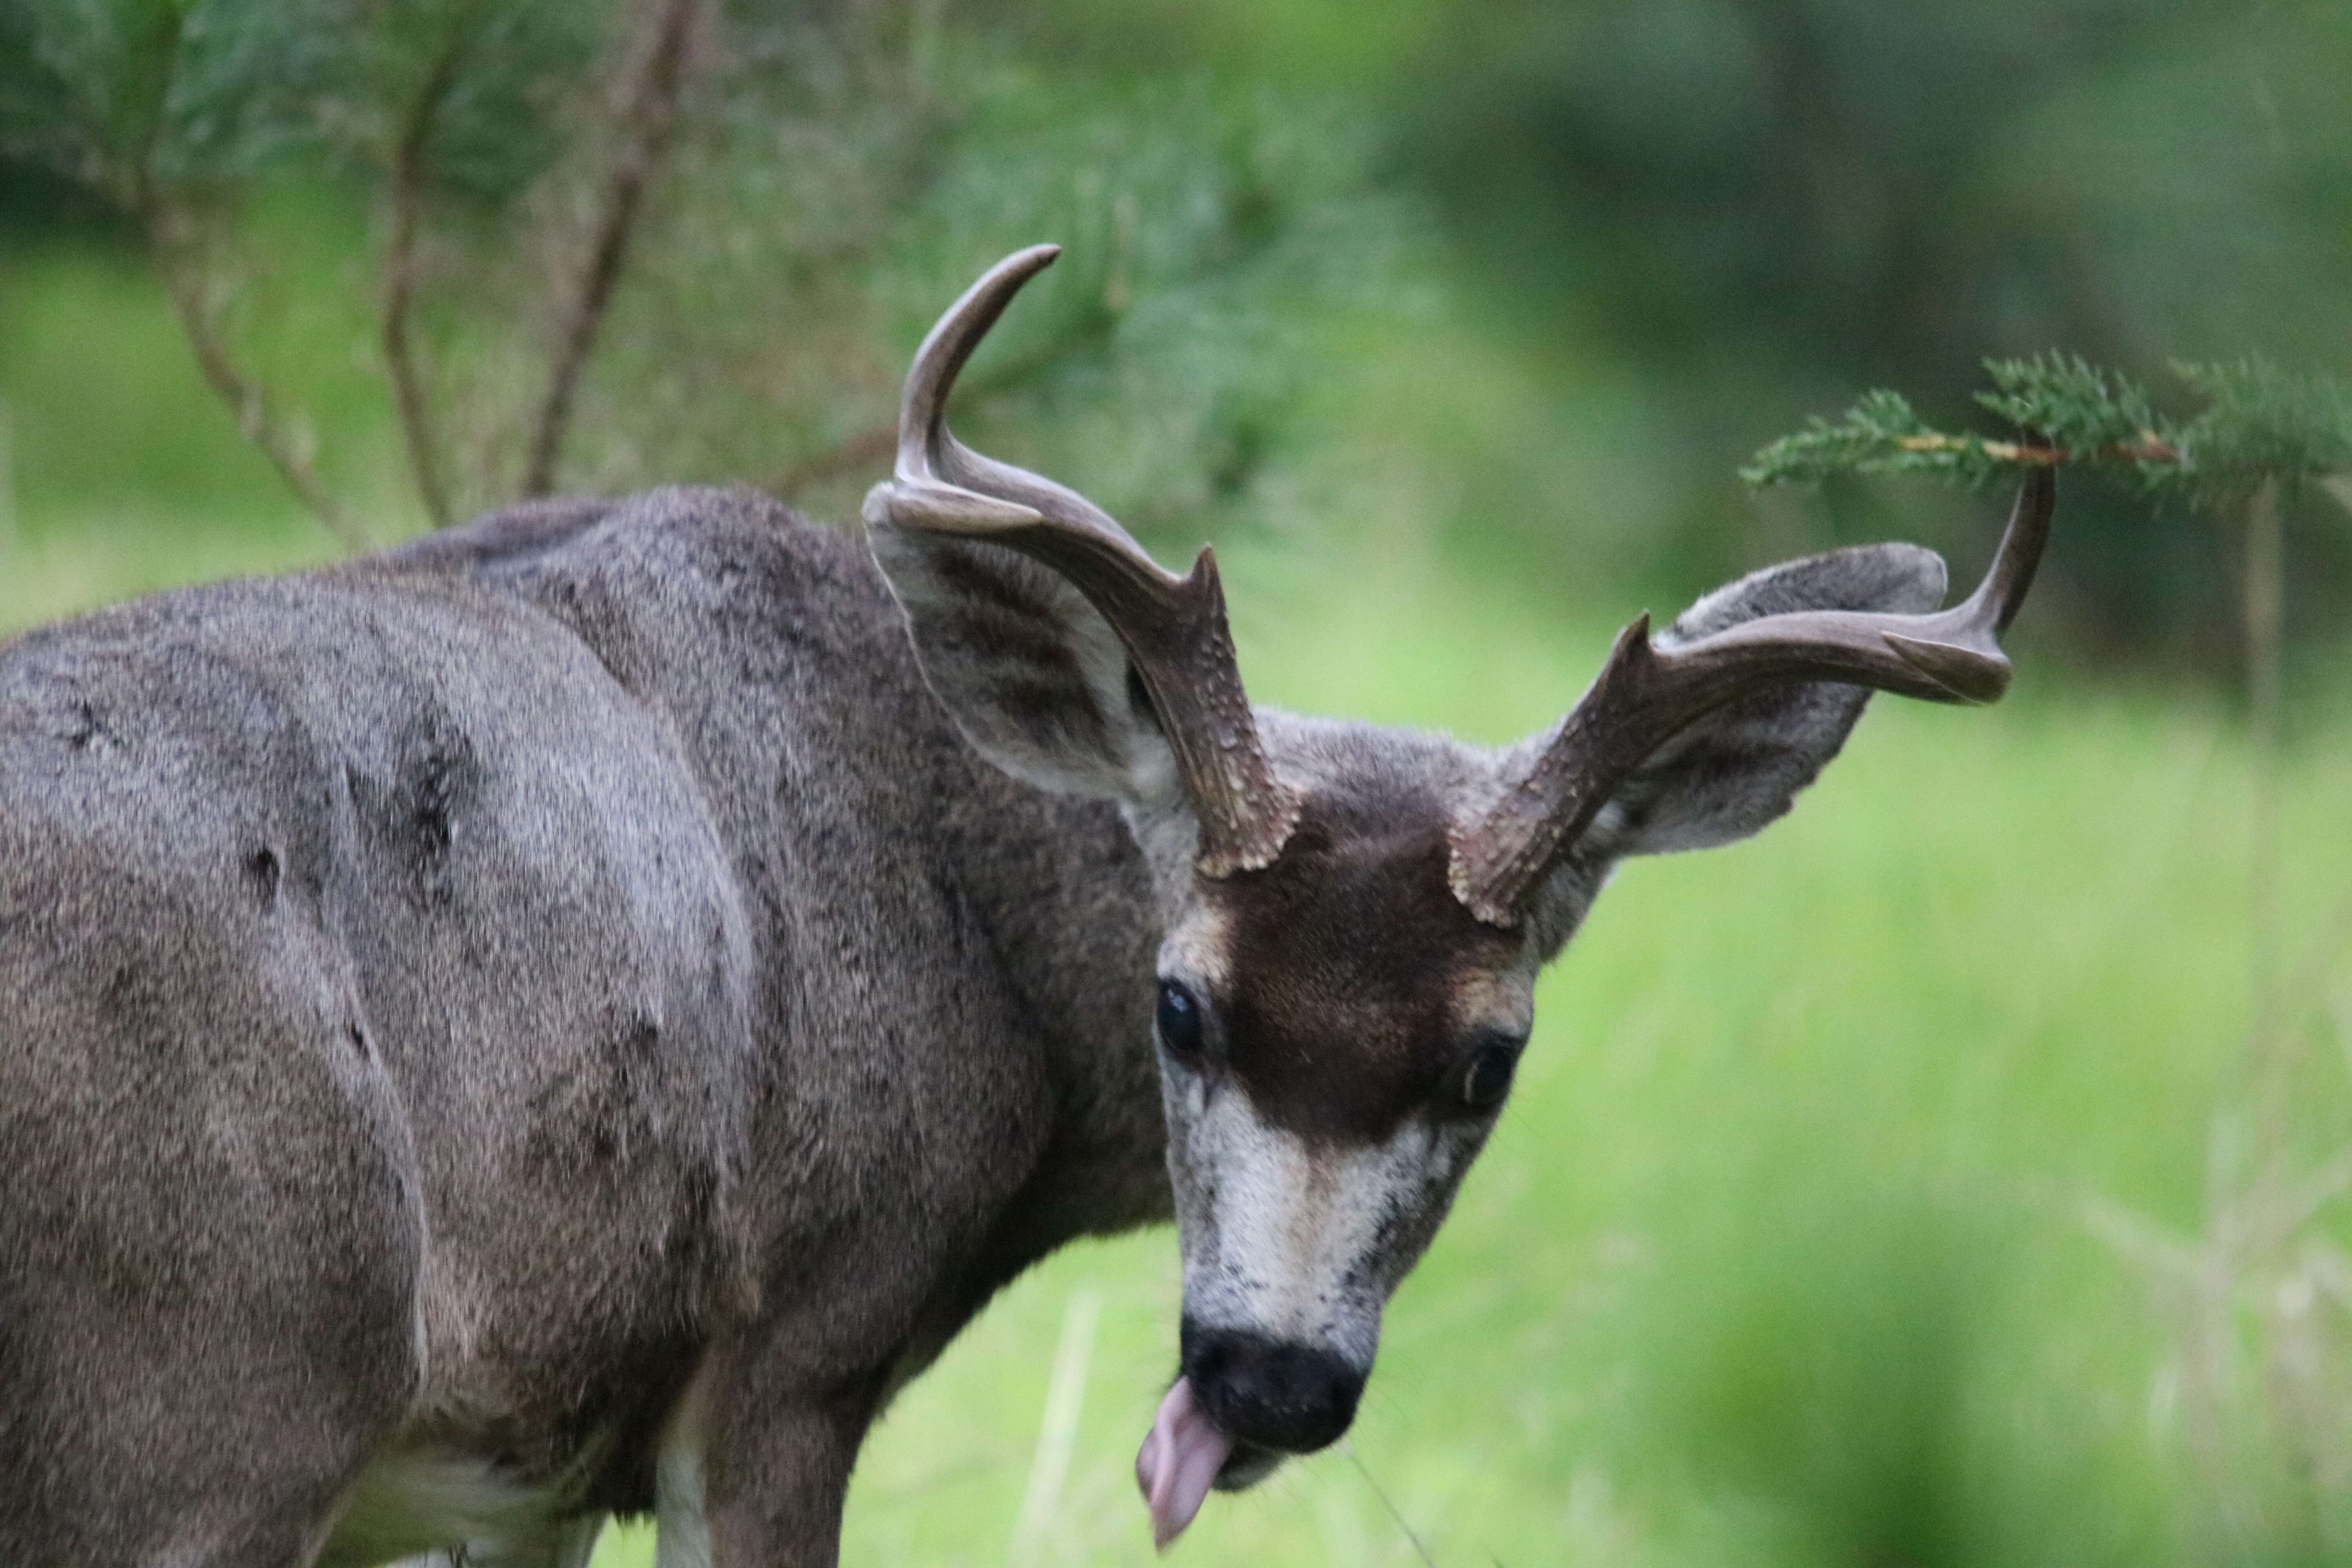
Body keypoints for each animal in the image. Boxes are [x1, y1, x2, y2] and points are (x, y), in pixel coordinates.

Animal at [0, 245, 2051, 1568]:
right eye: (1182, 1003)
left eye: (1488, 1060)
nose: (1267, 1374)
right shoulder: (792, 1345)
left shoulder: (528, 1456)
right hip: (206, 1408)